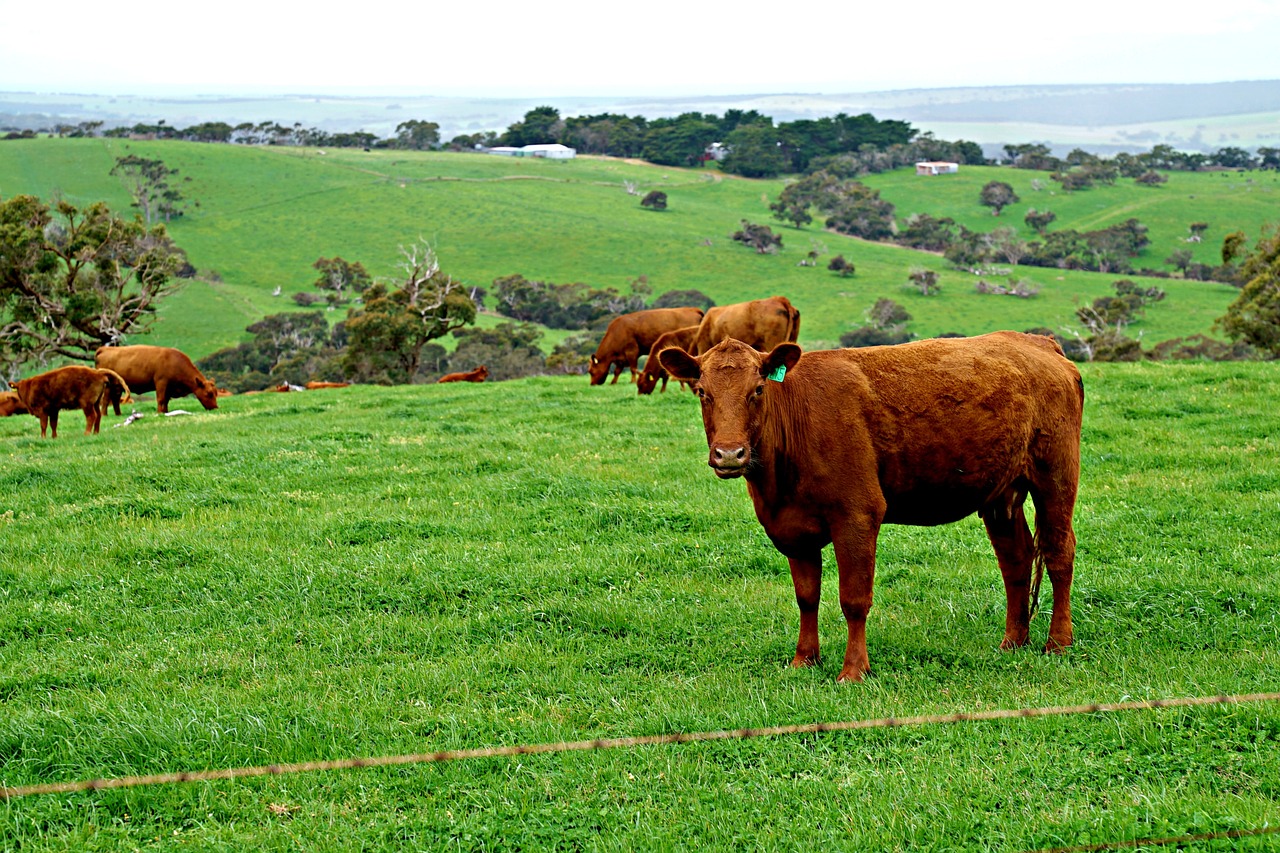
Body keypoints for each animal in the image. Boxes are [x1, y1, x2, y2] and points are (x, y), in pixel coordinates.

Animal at [665, 333, 1085, 686]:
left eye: (757, 389)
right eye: (702, 391)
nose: (729, 454)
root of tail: (1039, 342)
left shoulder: (857, 515)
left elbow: (853, 599)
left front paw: (853, 670)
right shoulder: (794, 530)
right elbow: (807, 597)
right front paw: (805, 659)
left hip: (1056, 476)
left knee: (1059, 553)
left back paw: (1058, 642)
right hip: (1001, 494)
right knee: (1016, 561)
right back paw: (1013, 641)